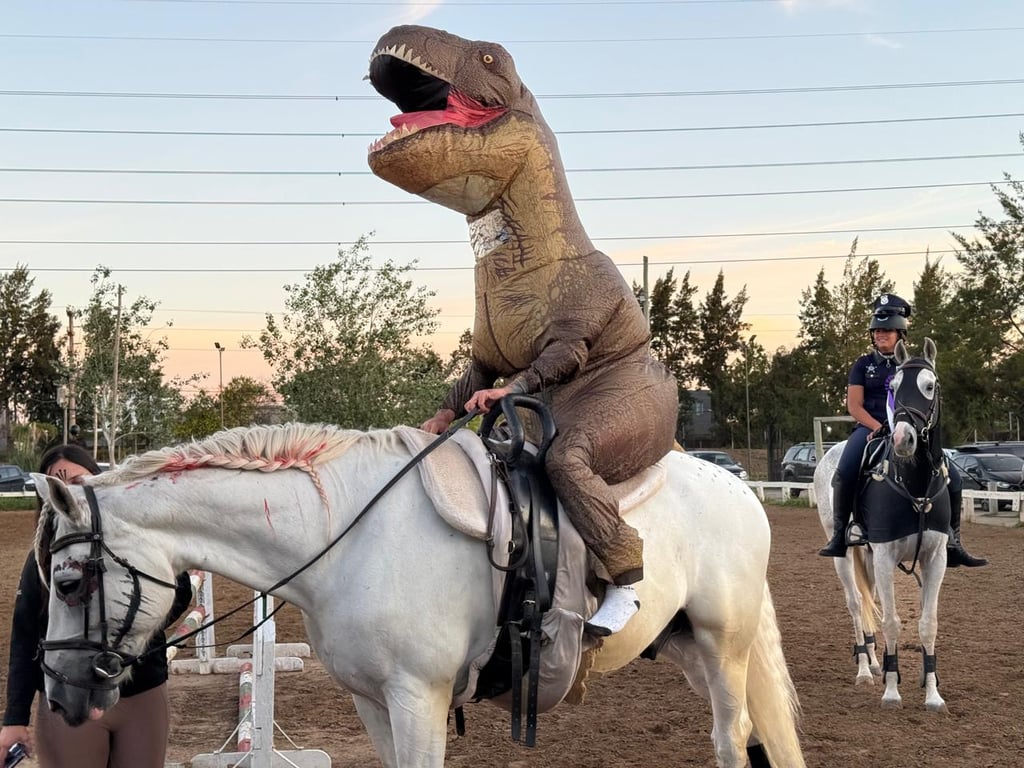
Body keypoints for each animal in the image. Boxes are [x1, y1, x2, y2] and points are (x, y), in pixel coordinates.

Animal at [34, 420, 805, 767]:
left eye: (70, 581)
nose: (60, 693)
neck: (347, 536)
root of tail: (739, 488)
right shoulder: (373, 702)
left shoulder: (418, 696)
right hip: (685, 646)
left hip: (724, 646)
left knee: (730, 734)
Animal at [815, 338, 950, 711]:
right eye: (893, 388)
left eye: (929, 386)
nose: (903, 439)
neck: (915, 484)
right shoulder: (887, 557)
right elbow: (891, 622)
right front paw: (891, 691)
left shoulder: (935, 558)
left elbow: (928, 623)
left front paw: (932, 693)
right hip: (844, 555)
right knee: (855, 604)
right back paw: (865, 668)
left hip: (870, 558)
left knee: (867, 599)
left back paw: (875, 662)